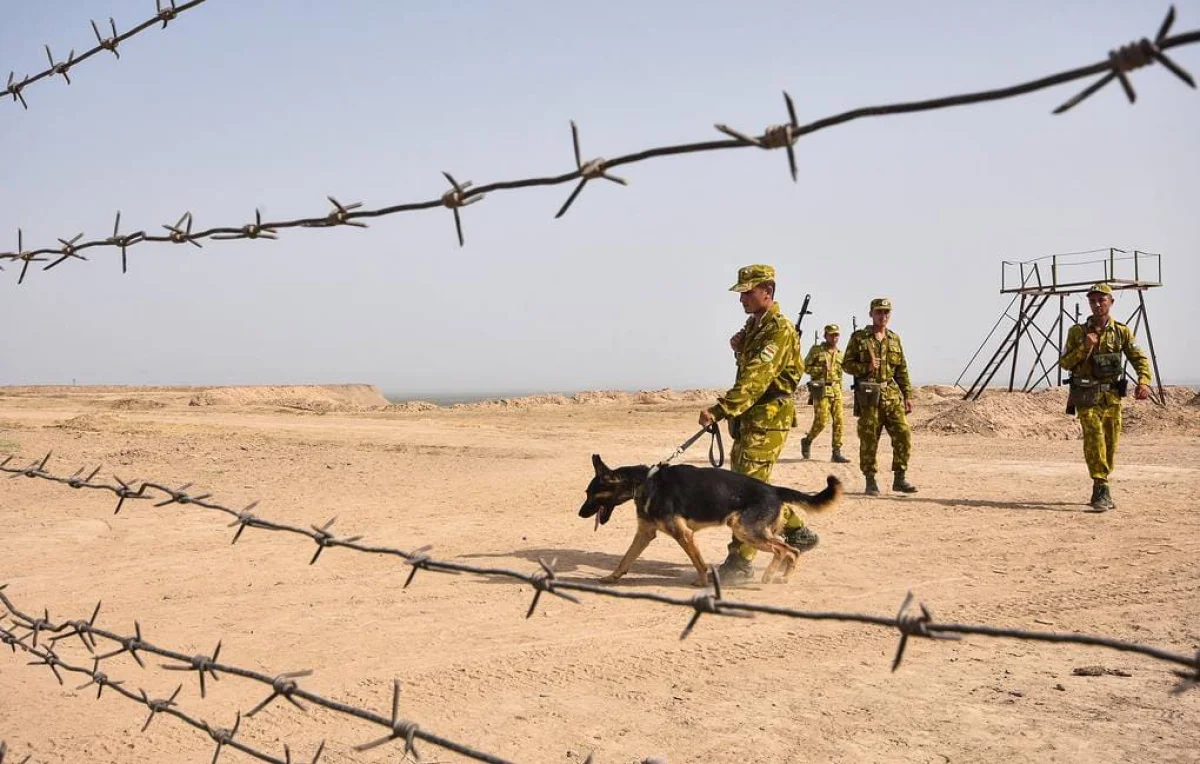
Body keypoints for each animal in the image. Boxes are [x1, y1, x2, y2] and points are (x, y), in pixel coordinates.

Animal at [580, 455, 844, 587]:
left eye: (591, 494)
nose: (580, 513)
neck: (644, 481)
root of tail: (774, 489)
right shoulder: (645, 534)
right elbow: (625, 559)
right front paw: (611, 578)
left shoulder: (683, 534)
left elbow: (698, 562)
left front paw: (702, 581)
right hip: (751, 531)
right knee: (789, 550)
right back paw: (780, 576)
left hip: (744, 529)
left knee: (785, 550)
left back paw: (773, 576)